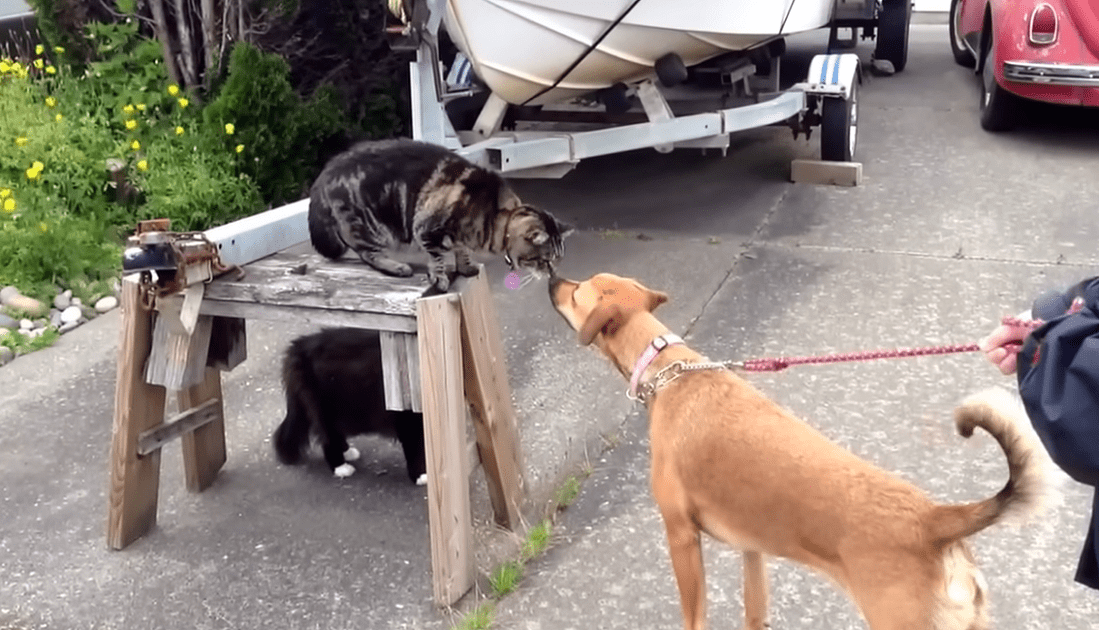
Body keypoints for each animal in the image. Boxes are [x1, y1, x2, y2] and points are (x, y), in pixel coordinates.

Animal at [305, 138, 571, 290]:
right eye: (545, 260)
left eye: (557, 259)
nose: (553, 274)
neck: (494, 216)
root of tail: (322, 176)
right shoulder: (426, 228)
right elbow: (438, 258)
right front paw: (440, 278)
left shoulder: (459, 237)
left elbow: (461, 251)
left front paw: (466, 267)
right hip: (369, 225)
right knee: (367, 253)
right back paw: (397, 267)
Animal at [549, 272, 1055, 628]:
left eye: (578, 291)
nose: (554, 281)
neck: (669, 370)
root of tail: (934, 521)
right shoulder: (752, 550)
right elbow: (754, 613)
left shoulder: (681, 537)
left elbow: (694, 617)